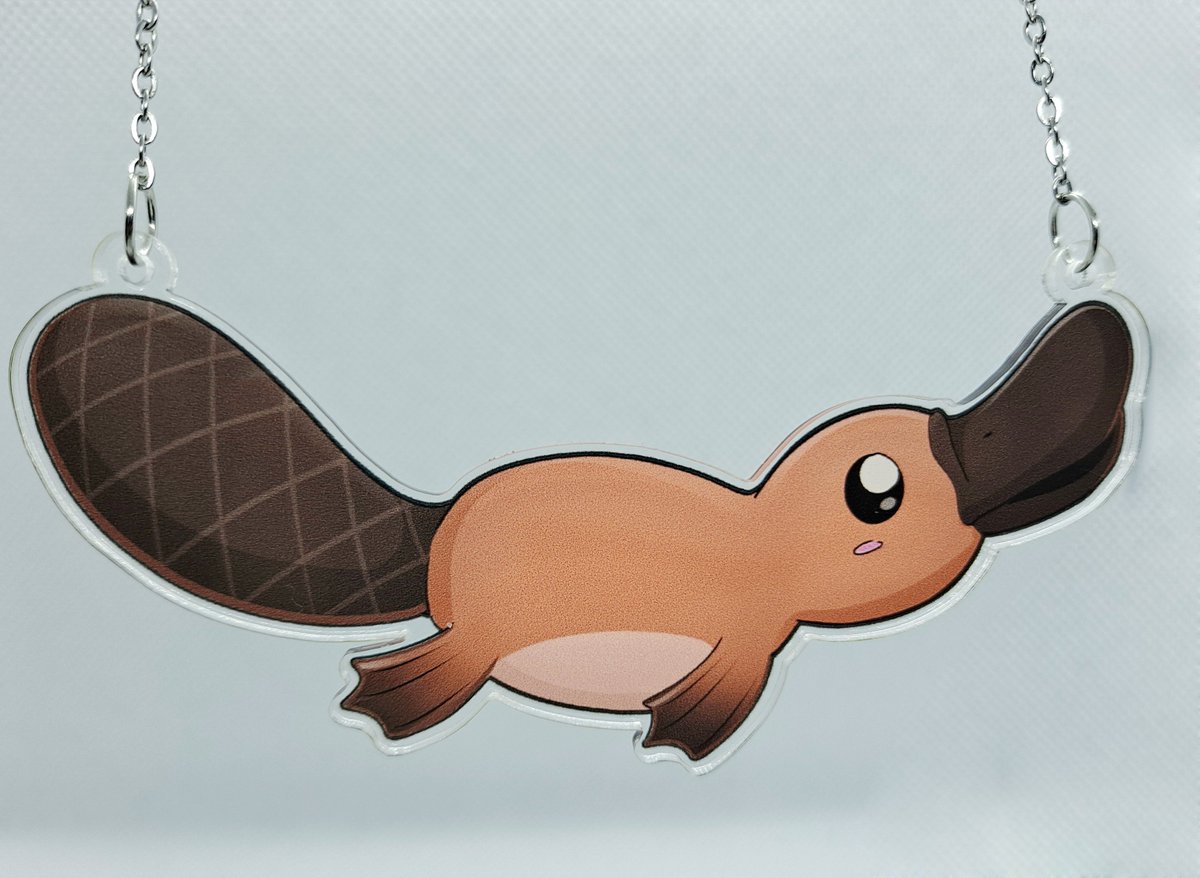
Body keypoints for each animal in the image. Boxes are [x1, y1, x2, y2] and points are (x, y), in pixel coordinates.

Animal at [22, 295, 1135, 762]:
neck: (761, 537)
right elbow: (717, 695)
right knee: (446, 659)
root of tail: (429, 538)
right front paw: (683, 729)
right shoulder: (744, 638)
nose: (1106, 336)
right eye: (877, 487)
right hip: (477, 631)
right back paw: (400, 695)